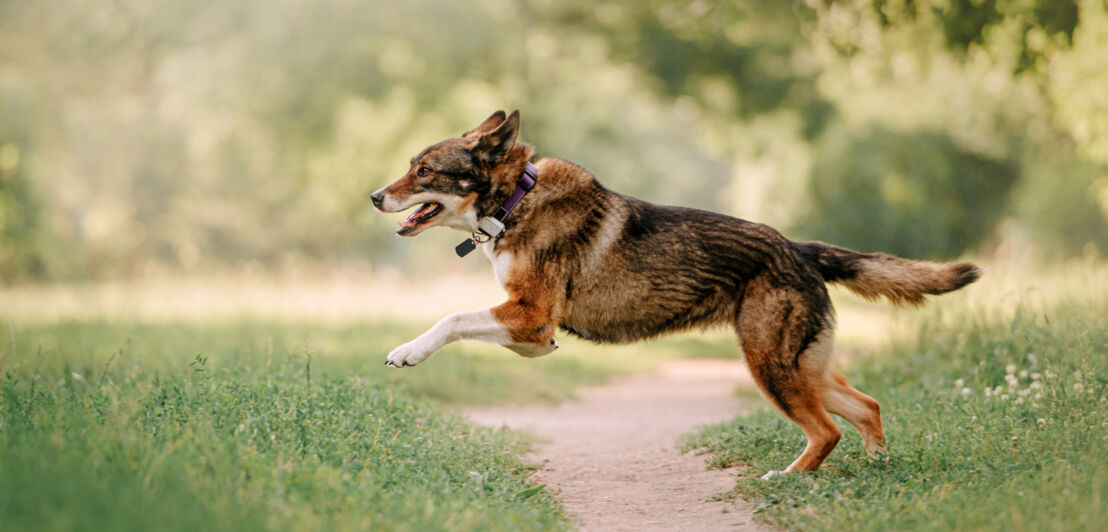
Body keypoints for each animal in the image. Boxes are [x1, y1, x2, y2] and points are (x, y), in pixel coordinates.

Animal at [370, 110, 979, 476]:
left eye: (424, 170)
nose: (375, 196)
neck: (513, 202)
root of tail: (801, 249)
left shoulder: (532, 313)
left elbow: (452, 319)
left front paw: (407, 351)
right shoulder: (530, 326)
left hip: (770, 366)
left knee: (827, 431)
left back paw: (788, 478)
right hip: (804, 367)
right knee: (866, 407)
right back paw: (877, 470)